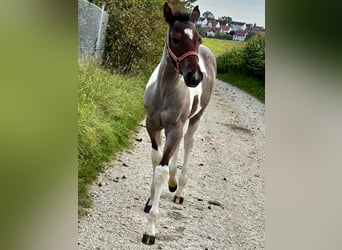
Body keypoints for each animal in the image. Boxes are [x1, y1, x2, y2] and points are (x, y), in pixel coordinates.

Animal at [142, 2, 216, 244]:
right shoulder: (152, 125)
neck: (165, 90)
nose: (194, 77)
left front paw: (150, 231)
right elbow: (157, 160)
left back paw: (180, 190)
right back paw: (173, 184)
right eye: (174, 38)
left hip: (194, 119)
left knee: (188, 144)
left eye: (198, 39)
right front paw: (150, 200)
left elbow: (162, 171)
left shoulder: (175, 127)